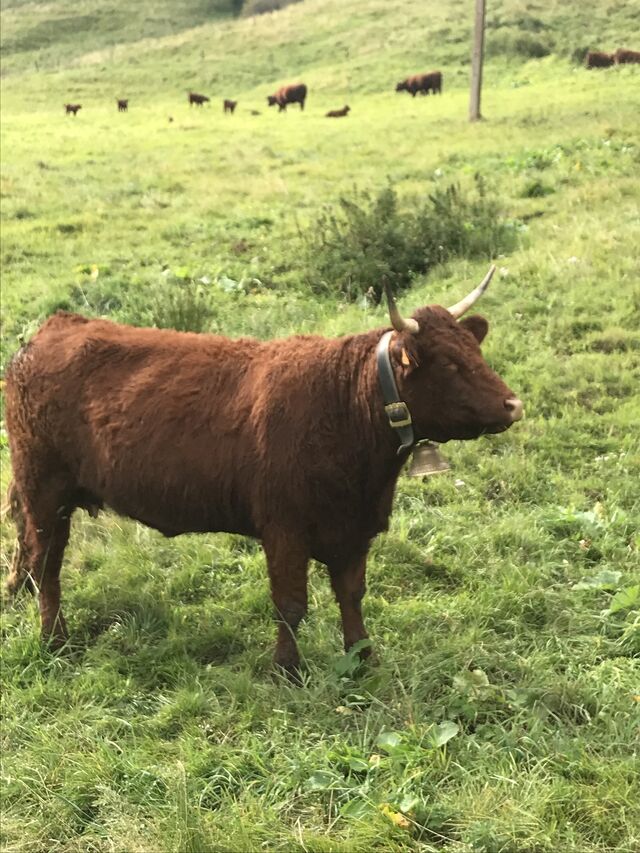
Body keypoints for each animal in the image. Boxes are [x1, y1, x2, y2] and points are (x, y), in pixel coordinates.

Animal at [4, 267, 523, 680]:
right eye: (451, 364)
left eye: (475, 352)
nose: (513, 404)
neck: (345, 407)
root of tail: (52, 327)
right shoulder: (284, 529)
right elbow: (291, 604)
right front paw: (286, 669)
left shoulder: (354, 529)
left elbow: (351, 594)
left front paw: (362, 656)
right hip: (44, 488)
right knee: (46, 563)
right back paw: (55, 639)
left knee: (29, 549)